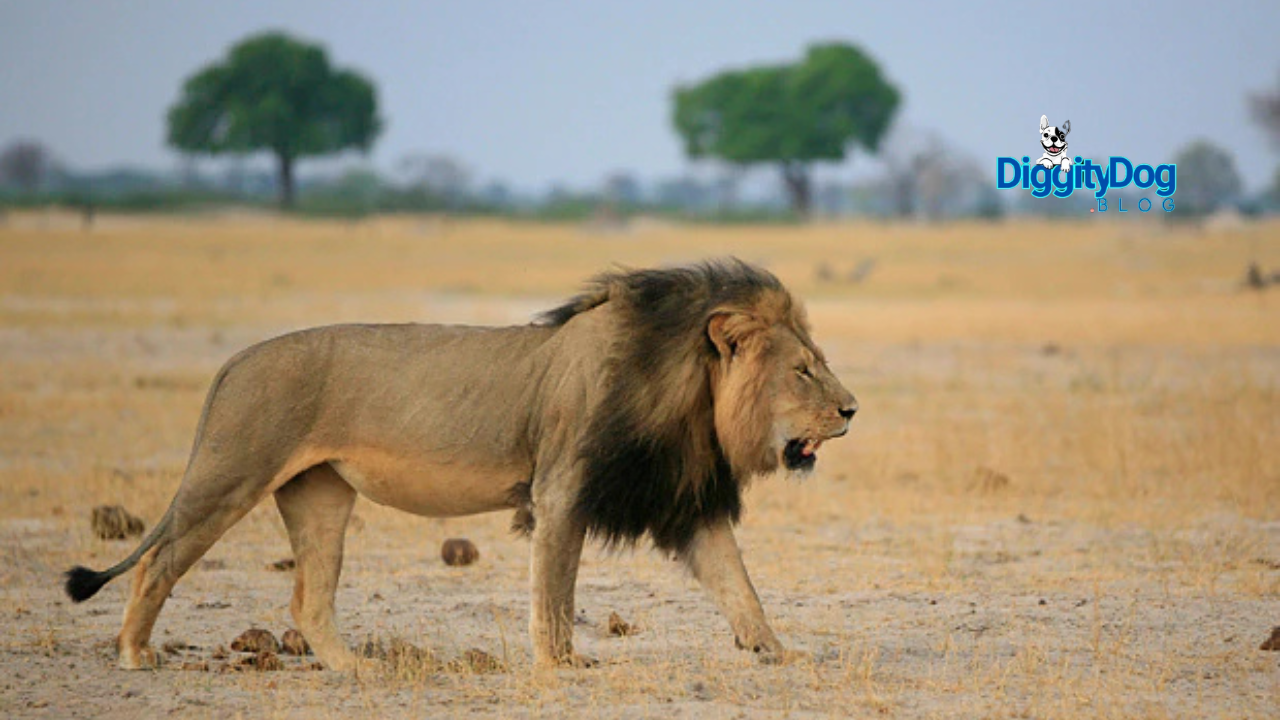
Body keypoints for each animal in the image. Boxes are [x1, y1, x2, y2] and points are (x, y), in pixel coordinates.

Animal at [64, 259, 857, 670]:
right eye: (804, 371)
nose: (852, 410)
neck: (688, 391)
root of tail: (233, 360)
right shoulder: (562, 490)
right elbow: (555, 591)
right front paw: (562, 664)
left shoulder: (685, 503)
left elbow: (738, 583)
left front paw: (777, 651)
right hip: (231, 475)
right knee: (157, 560)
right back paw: (135, 653)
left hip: (320, 495)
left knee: (309, 599)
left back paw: (356, 669)